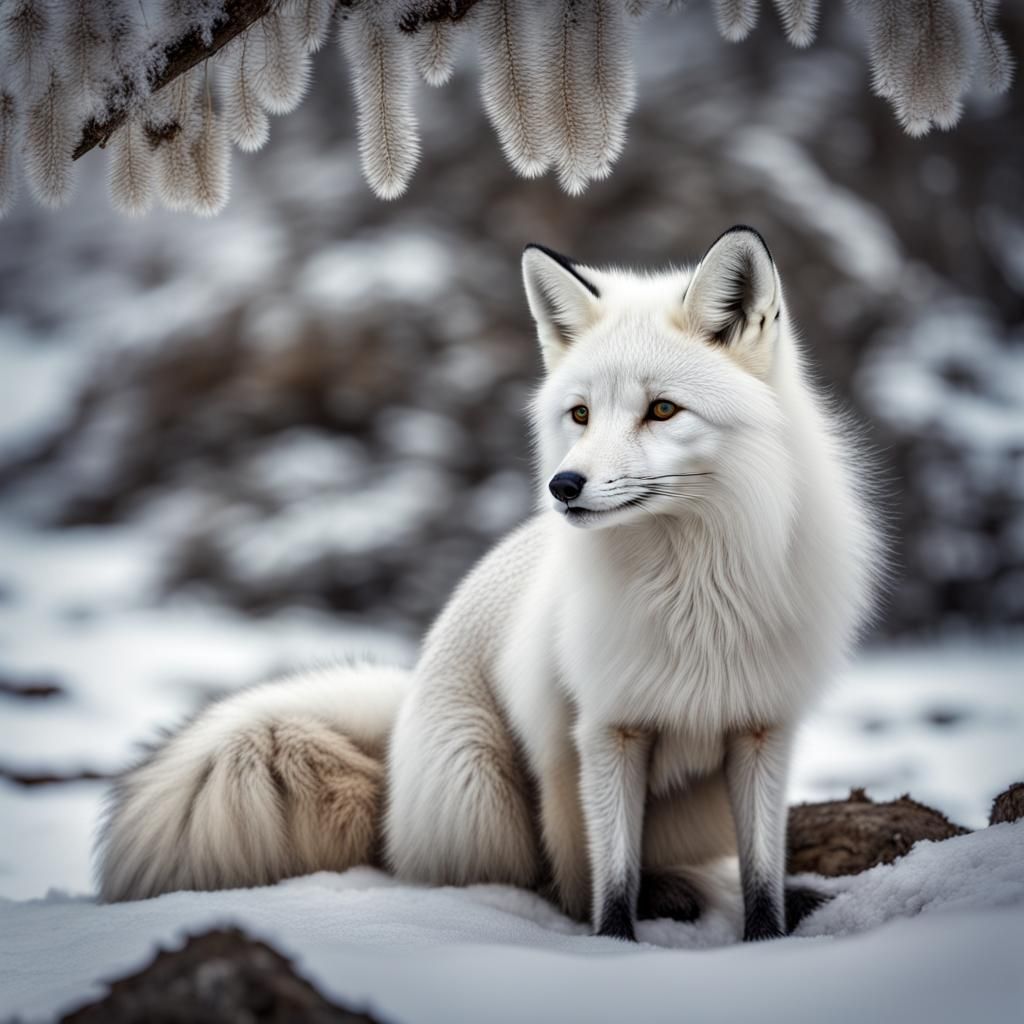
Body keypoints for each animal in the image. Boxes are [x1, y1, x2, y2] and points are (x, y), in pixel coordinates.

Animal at [97, 226, 878, 942]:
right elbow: (610, 884)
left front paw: (767, 936)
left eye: (662, 410)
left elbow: (760, 878)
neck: (695, 594)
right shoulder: (604, 728)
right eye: (580, 414)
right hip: (485, 792)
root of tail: (401, 729)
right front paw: (616, 949)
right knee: (544, 881)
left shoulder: (761, 726)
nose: (564, 485)